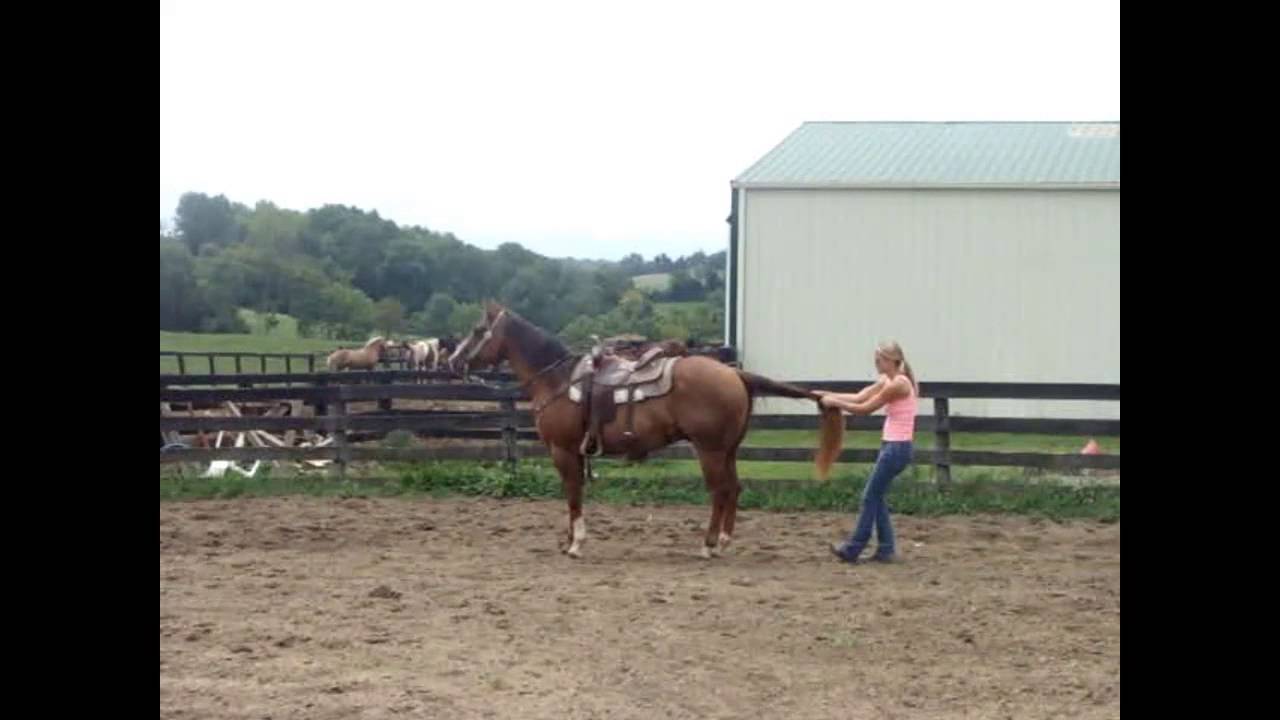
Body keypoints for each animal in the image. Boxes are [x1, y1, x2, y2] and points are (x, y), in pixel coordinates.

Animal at [447, 301, 844, 560]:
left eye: (478, 330)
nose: (453, 361)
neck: (558, 379)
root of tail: (735, 374)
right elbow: (573, 494)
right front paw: (567, 539)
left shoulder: (563, 451)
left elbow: (573, 494)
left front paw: (575, 543)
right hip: (728, 450)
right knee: (733, 489)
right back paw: (724, 541)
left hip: (710, 450)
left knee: (720, 491)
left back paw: (708, 545)